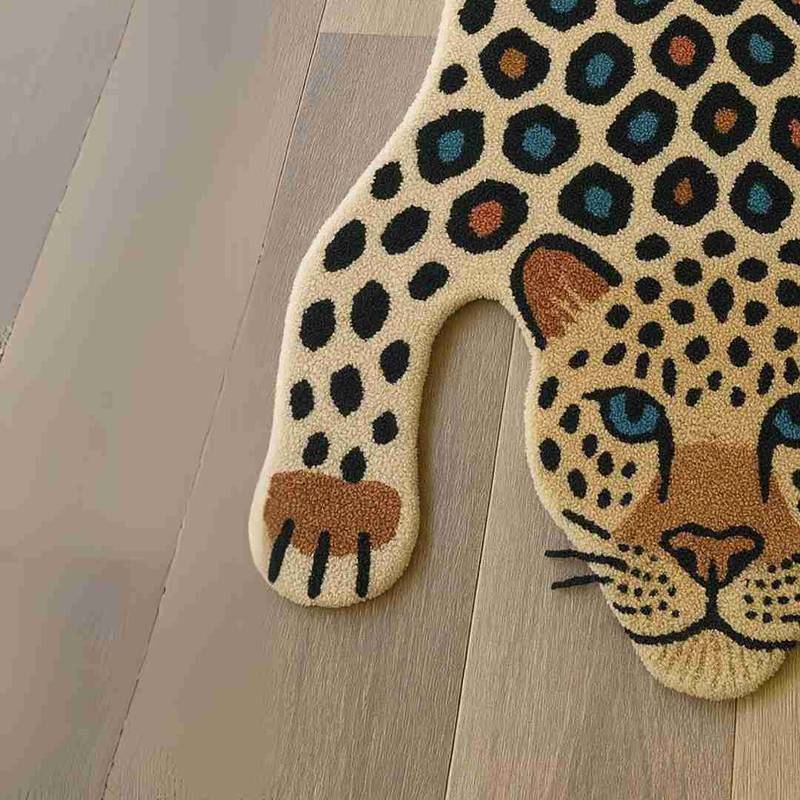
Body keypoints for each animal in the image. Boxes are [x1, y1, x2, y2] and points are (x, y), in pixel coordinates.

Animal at [250, 0, 800, 699]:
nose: (714, 551)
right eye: (630, 416)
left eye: (796, 423)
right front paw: (329, 516)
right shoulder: (437, 182)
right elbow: (342, 291)